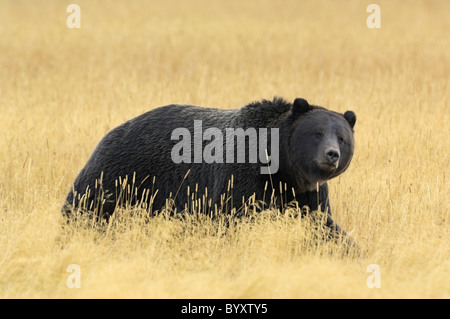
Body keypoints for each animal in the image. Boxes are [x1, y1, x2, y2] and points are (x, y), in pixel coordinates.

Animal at [63, 99, 356, 239]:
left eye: (342, 137)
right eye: (317, 133)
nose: (332, 154)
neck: (281, 168)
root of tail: (114, 130)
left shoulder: (306, 193)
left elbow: (322, 225)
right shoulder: (242, 176)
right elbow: (234, 217)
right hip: (121, 172)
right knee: (87, 205)